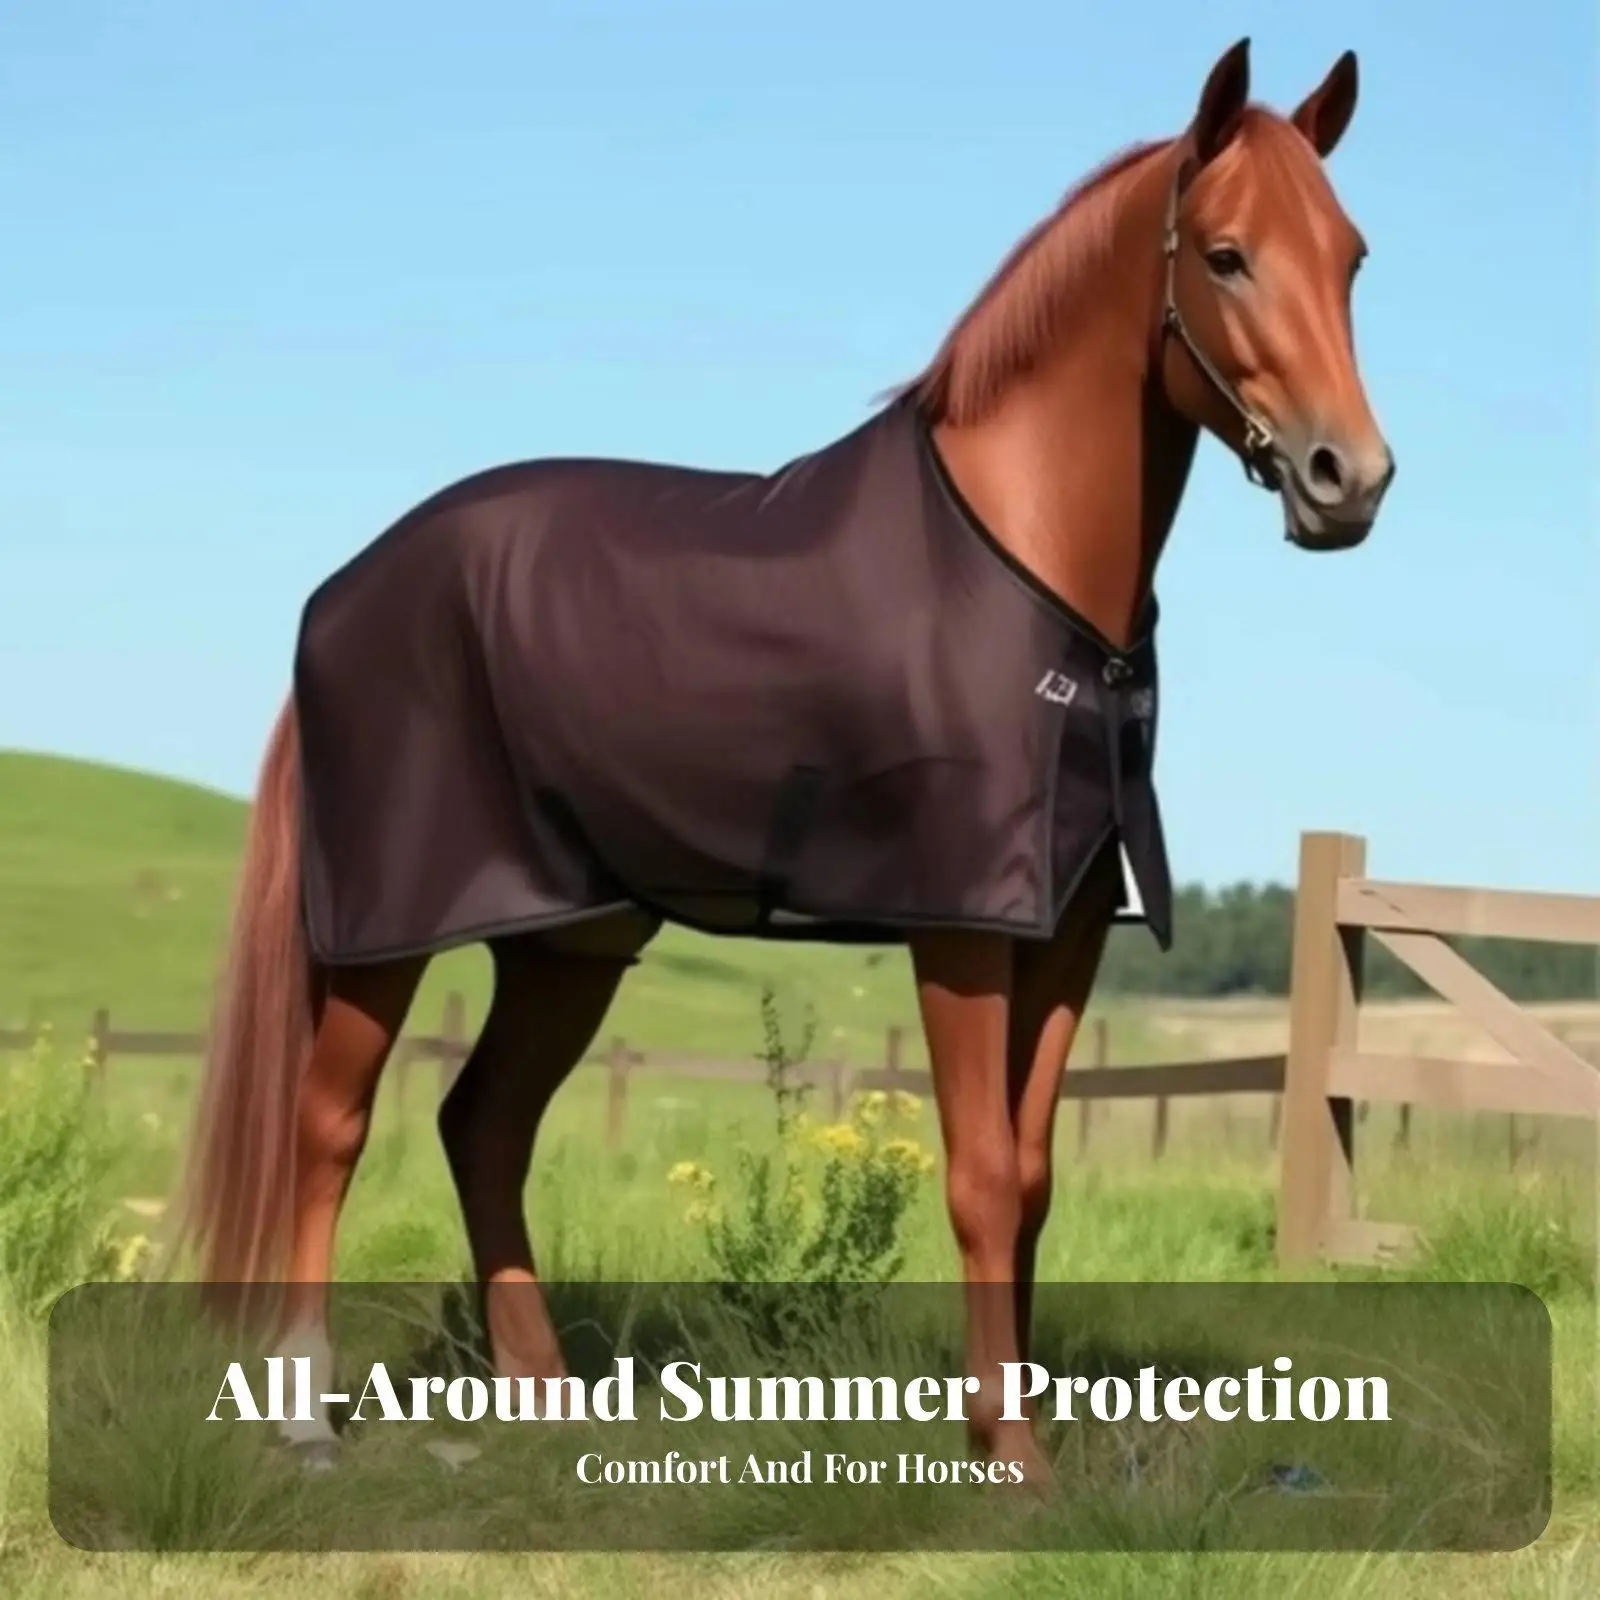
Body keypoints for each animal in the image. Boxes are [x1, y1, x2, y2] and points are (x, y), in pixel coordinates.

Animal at [175, 38, 1393, 1484]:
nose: (1348, 479)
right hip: (389, 933)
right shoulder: (961, 929)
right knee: (329, 1123)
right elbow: (982, 1176)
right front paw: (1013, 1460)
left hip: (570, 936)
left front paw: (1012, 1423)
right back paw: (304, 1413)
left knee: (483, 1124)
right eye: (1223, 256)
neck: (1026, 563)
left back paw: (547, 1398)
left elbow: (1033, 1176)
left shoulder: (1063, 926)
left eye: (1351, 257)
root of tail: (346, 588)